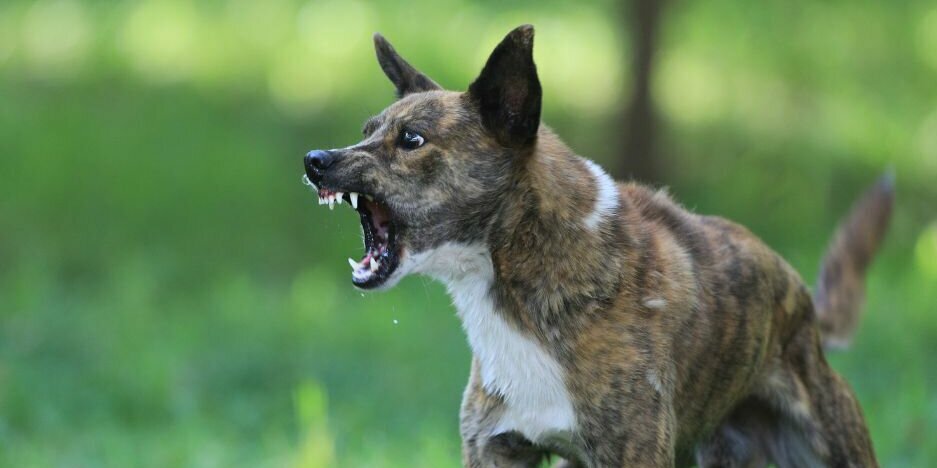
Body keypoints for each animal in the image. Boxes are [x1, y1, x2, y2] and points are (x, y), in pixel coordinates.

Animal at [300, 26, 892, 468]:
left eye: (413, 140)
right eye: (367, 130)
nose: (315, 160)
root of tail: (804, 306)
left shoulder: (632, 453)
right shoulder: (496, 448)